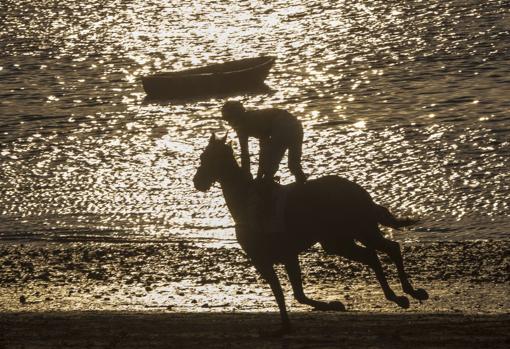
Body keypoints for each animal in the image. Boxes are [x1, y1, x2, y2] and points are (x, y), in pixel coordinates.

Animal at [193, 133, 428, 334]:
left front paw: (332, 305)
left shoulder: (280, 256)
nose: (197, 181)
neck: (246, 203)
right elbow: (288, 294)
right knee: (372, 255)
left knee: (390, 249)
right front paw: (291, 323)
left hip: (361, 229)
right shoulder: (268, 260)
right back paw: (397, 296)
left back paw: (409, 292)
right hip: (338, 241)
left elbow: (294, 294)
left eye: (207, 158)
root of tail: (357, 189)